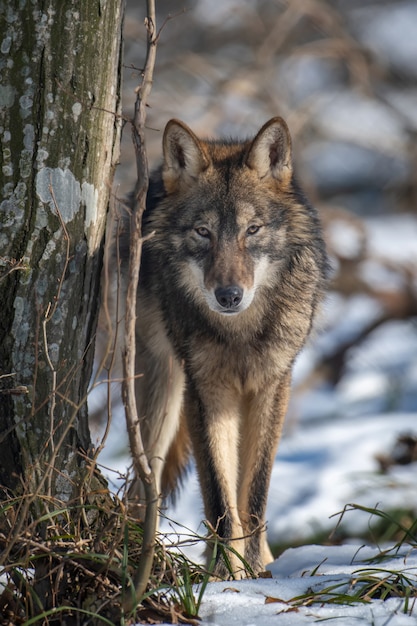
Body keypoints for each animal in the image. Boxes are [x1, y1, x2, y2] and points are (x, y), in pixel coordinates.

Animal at [127, 116, 328, 576]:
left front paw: (253, 572)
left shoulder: (273, 385)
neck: (241, 332)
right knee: (145, 482)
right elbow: (219, 496)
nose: (229, 296)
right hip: (164, 391)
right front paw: (224, 575)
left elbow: (253, 494)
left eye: (251, 230)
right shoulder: (205, 390)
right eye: (204, 232)